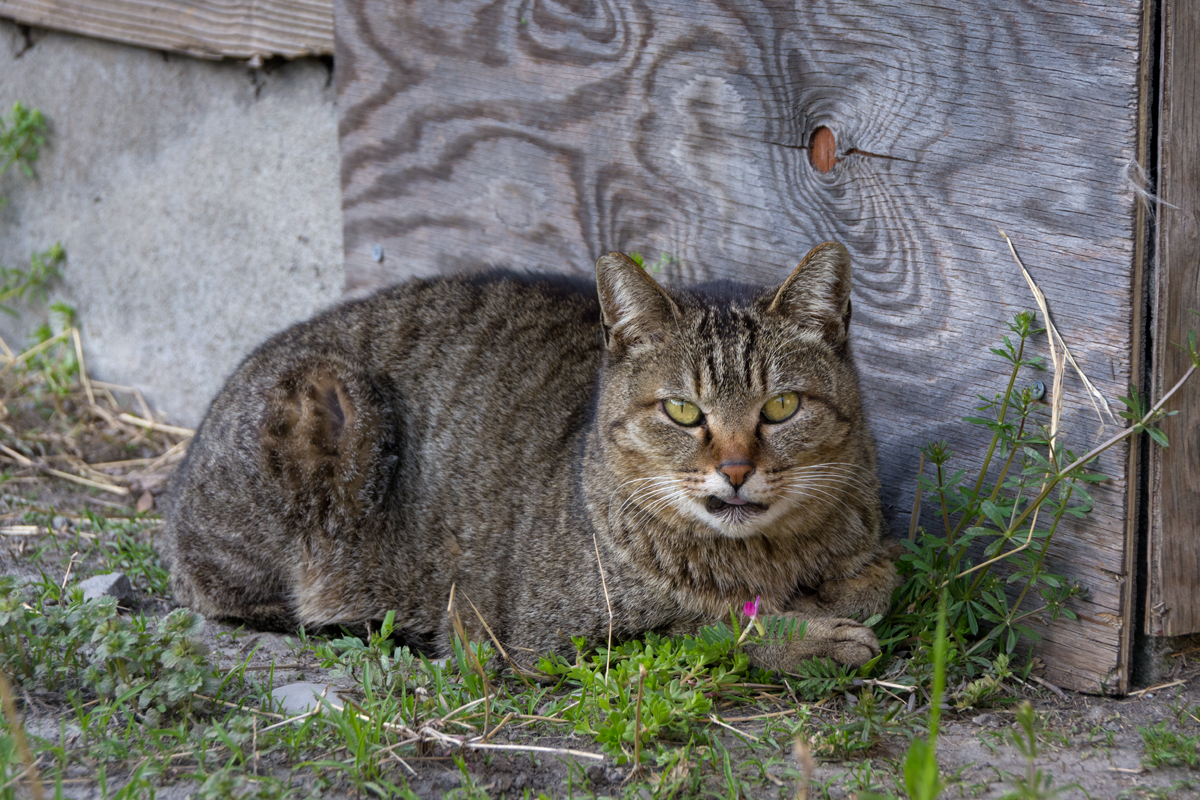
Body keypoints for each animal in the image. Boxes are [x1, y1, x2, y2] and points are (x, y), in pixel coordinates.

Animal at [166, 242, 902, 671]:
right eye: (682, 412)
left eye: (781, 408)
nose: (737, 469)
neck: (766, 559)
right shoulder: (545, 639)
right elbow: (708, 625)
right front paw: (816, 638)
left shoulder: (873, 556)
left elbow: (874, 583)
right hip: (337, 407)